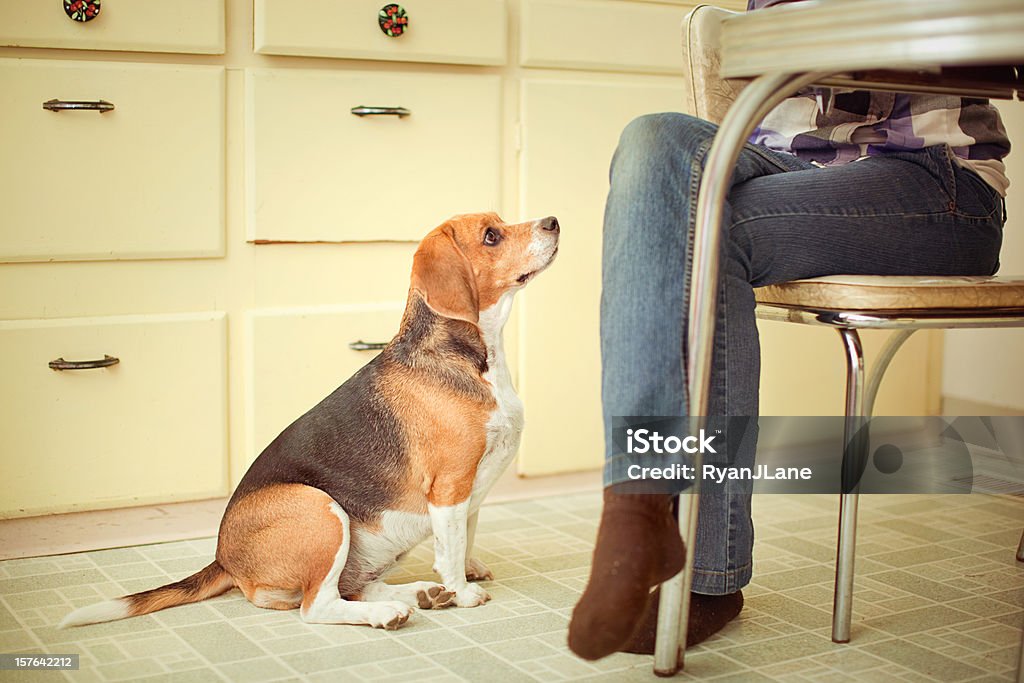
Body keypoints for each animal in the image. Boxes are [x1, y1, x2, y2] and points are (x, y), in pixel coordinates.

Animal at [61, 211, 561, 630]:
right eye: (491, 236)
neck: (476, 359)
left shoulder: (470, 492)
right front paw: (463, 591)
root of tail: (225, 559)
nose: (553, 221)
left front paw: (464, 577)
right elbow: (452, 547)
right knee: (316, 606)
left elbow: (465, 537)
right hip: (320, 509)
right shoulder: (451, 485)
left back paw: (421, 593)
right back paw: (393, 610)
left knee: (349, 588)